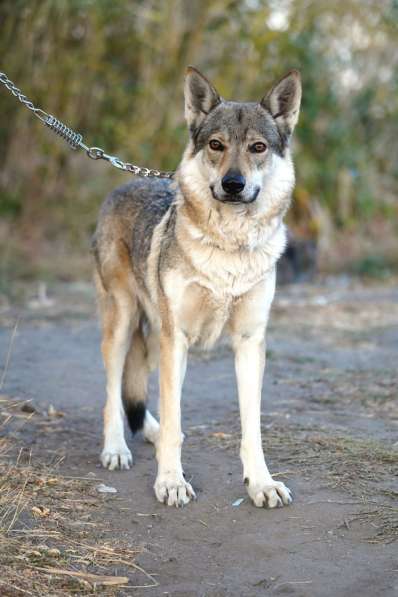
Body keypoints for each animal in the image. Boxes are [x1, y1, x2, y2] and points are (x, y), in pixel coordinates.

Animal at [92, 66, 302, 508]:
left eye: (258, 147)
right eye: (216, 145)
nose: (233, 183)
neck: (229, 247)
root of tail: (119, 188)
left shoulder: (248, 342)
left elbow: (251, 429)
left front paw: (261, 483)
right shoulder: (178, 340)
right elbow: (174, 420)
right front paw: (170, 482)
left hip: (155, 338)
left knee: (139, 389)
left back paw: (149, 431)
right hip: (126, 324)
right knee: (113, 393)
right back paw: (116, 448)